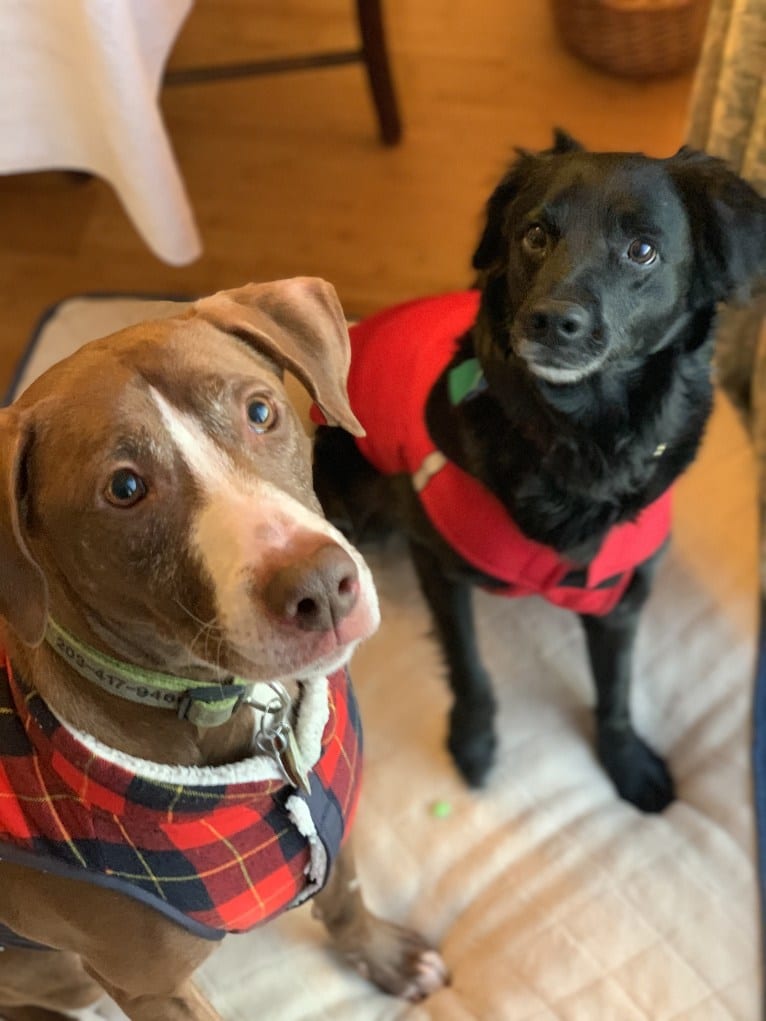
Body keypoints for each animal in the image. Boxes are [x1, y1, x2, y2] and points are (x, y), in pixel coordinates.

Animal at [0, 275, 449, 1016]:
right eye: (125, 487)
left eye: (260, 410)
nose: (320, 587)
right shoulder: (152, 985)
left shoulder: (328, 810)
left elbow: (346, 893)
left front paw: (383, 955)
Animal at [312, 131, 766, 812]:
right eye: (533, 235)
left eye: (642, 250)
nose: (550, 322)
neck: (580, 439)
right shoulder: (436, 562)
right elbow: (469, 665)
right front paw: (473, 741)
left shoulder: (618, 593)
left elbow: (616, 686)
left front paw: (625, 760)